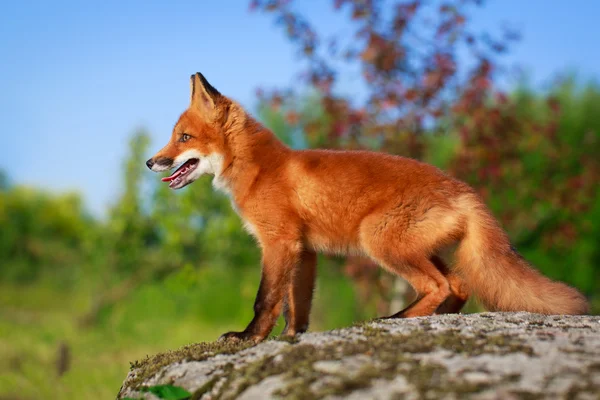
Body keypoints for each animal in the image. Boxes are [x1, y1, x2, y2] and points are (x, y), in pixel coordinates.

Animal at [146, 73, 592, 342]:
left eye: (183, 137)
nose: (151, 162)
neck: (259, 169)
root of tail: (465, 190)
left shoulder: (278, 243)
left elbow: (266, 300)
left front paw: (248, 337)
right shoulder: (303, 251)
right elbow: (296, 308)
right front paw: (291, 340)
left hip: (379, 242)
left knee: (439, 286)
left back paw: (396, 320)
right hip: (416, 249)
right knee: (458, 285)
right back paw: (435, 321)